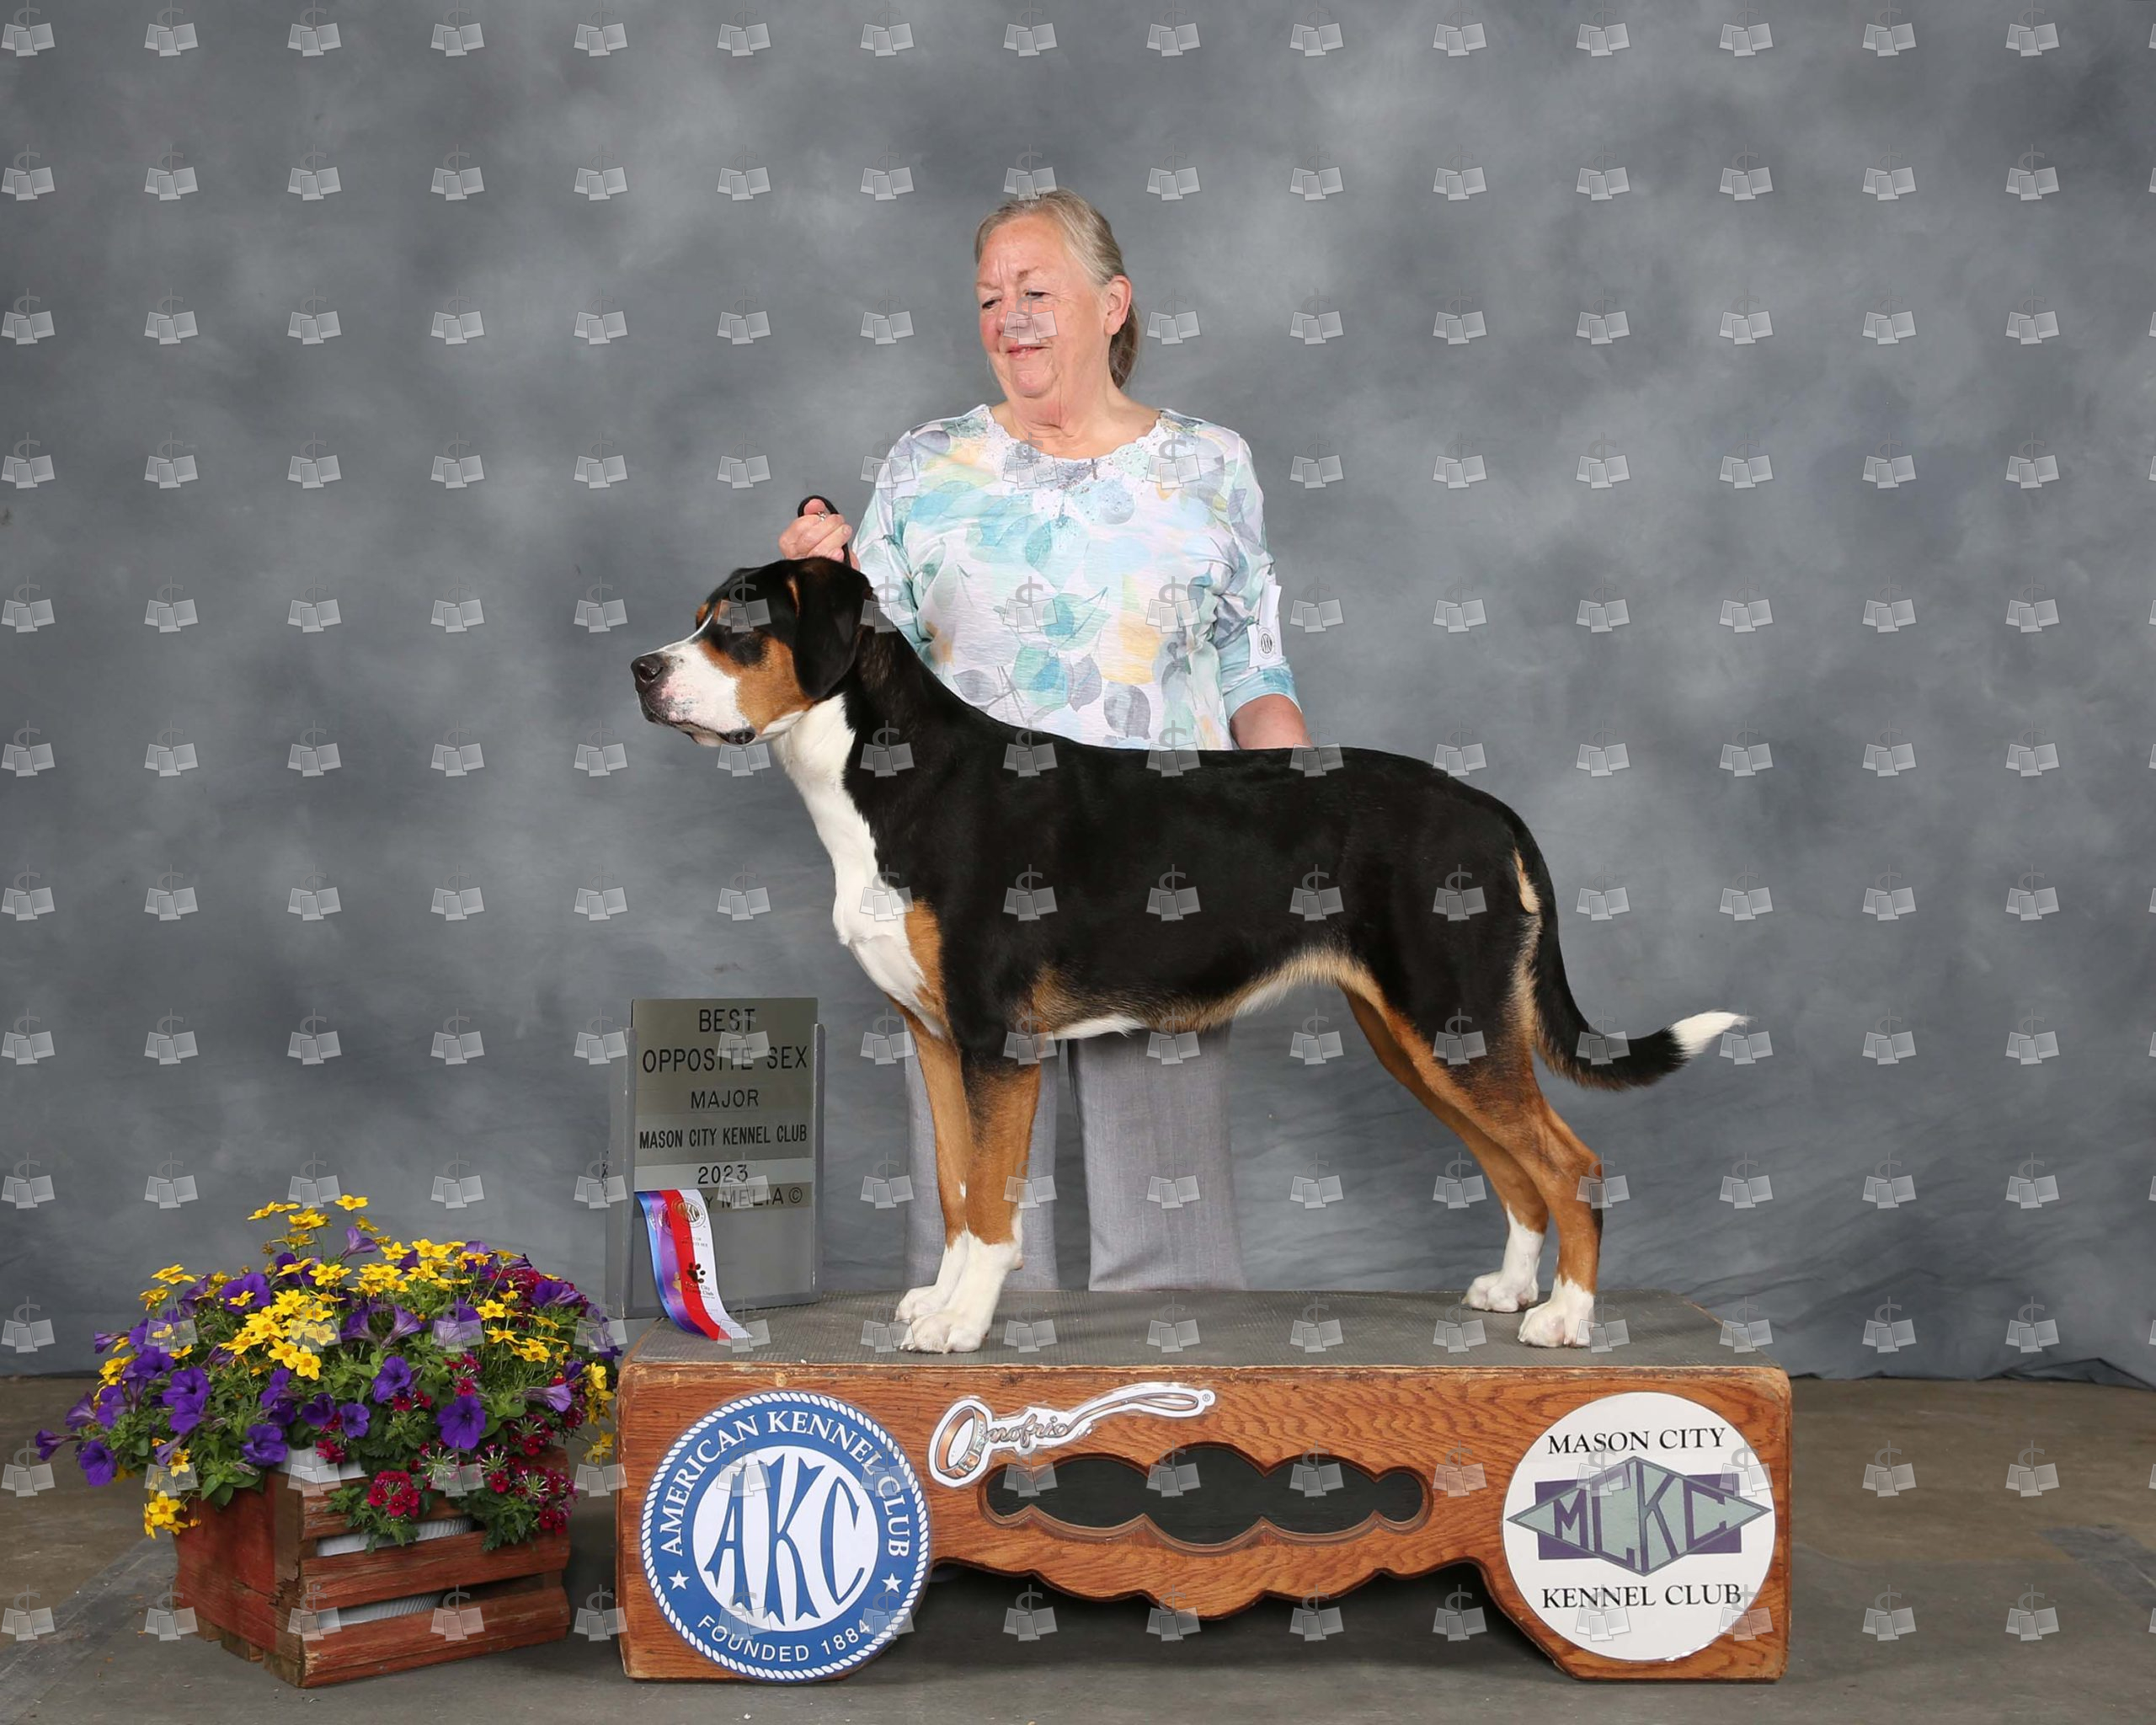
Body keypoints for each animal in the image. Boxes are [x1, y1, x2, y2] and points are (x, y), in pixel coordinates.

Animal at [632, 530, 1742, 1354]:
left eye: (739, 621)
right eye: (698, 615)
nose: (641, 669)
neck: (891, 774)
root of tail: (1488, 808)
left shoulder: (998, 1041)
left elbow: (990, 1206)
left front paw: (961, 1321)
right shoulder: (939, 1040)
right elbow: (953, 1189)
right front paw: (937, 1299)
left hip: (1450, 1017)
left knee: (1572, 1165)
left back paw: (1566, 1317)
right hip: (1419, 1037)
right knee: (1516, 1170)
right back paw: (1512, 1289)